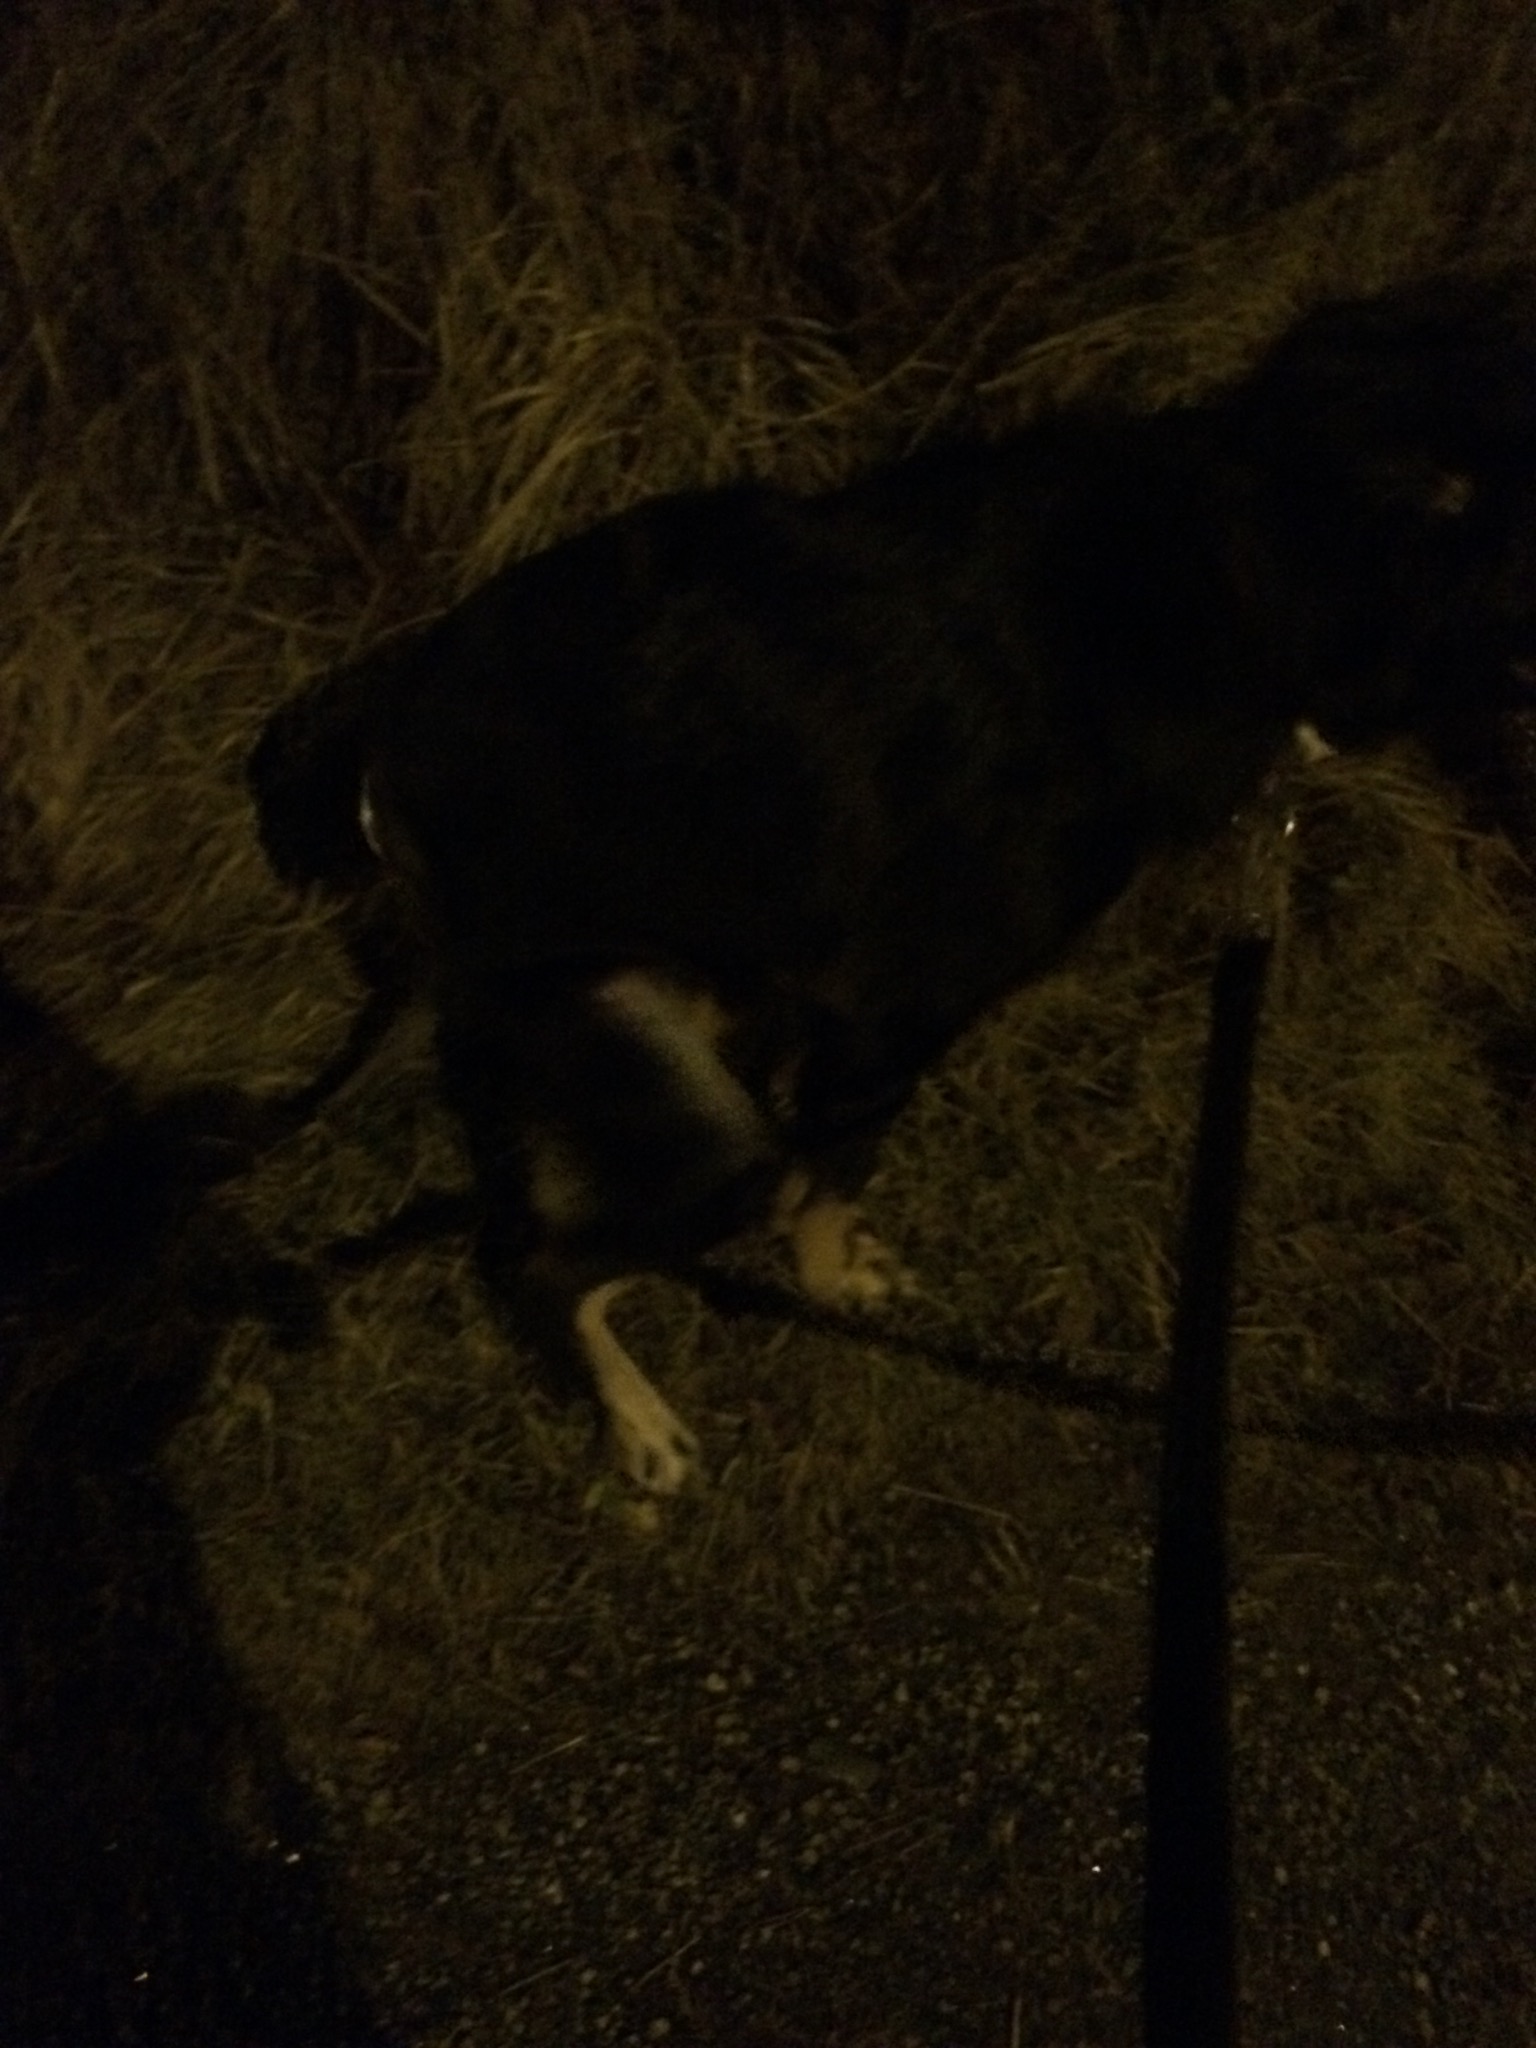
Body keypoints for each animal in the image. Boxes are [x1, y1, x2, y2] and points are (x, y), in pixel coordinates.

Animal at [249, 277, 1536, 1492]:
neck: (1231, 556)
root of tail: (383, 790)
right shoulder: (891, 1023)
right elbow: (830, 1182)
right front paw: (834, 1280)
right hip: (711, 1144)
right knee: (539, 1264)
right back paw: (641, 1424)